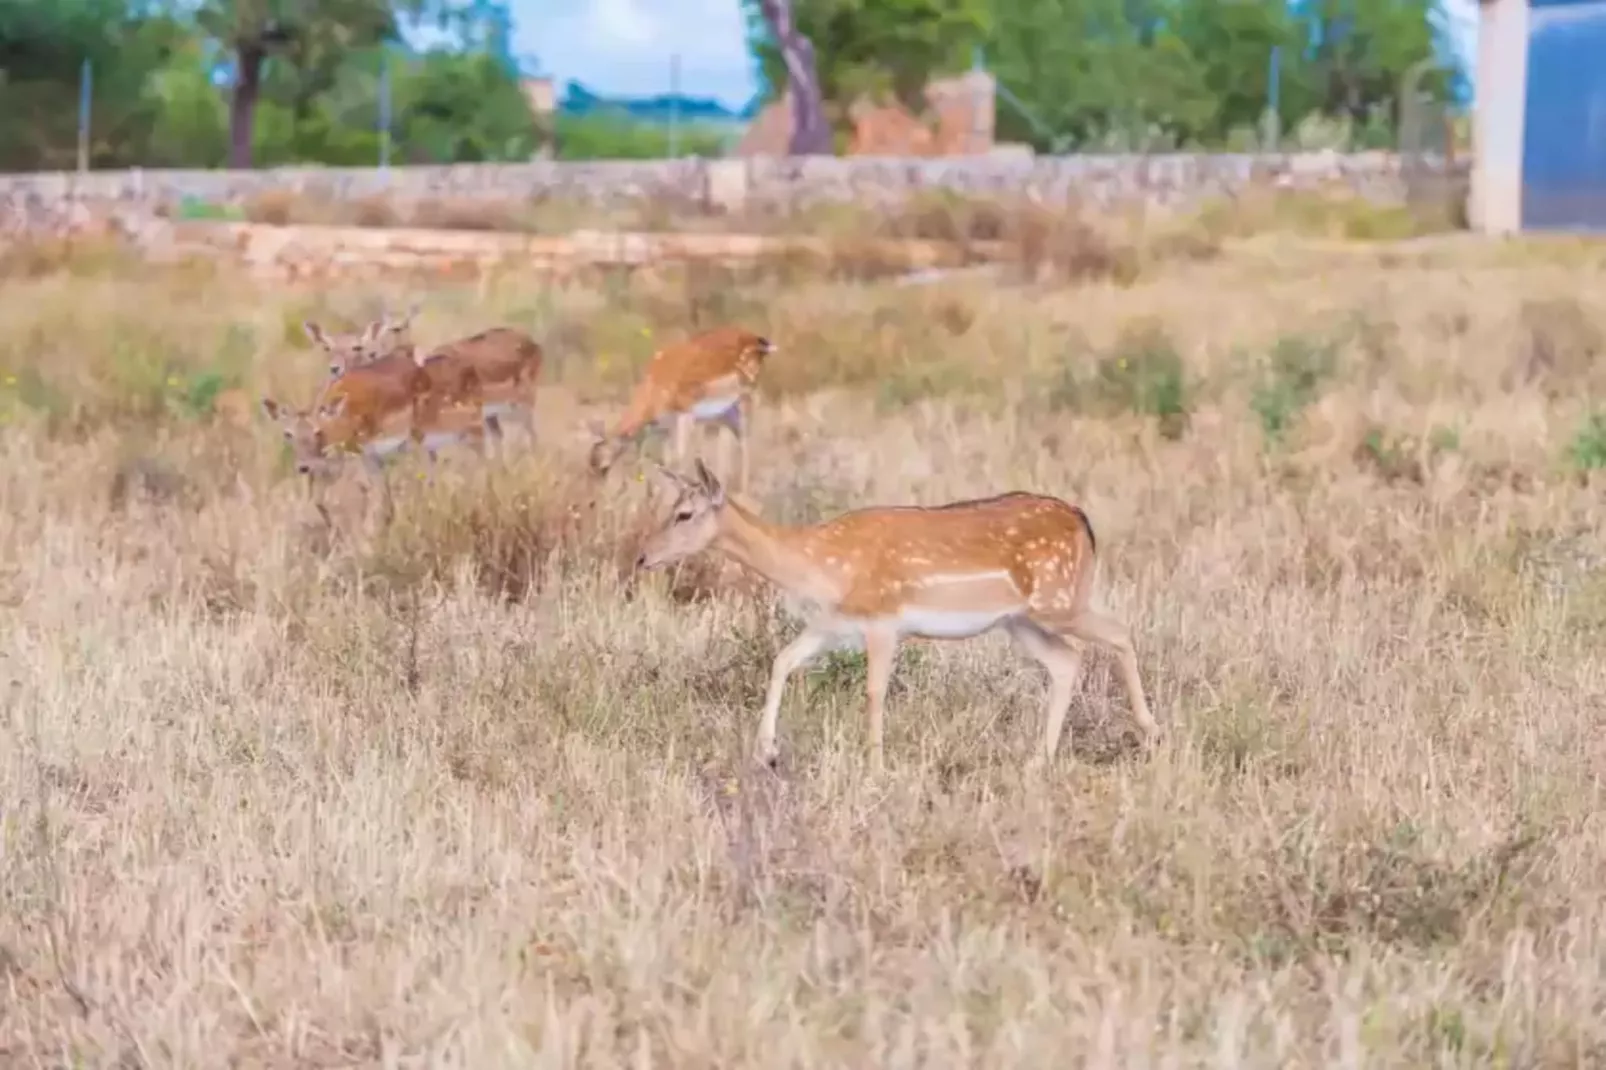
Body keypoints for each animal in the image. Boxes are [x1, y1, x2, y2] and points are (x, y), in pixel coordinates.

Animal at [587, 324, 774, 491]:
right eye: (590, 462)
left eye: (602, 466)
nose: (595, 492)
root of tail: (761, 342)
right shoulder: (665, 425)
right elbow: (667, 460)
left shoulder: (686, 411)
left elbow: (679, 457)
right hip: (726, 411)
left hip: (746, 396)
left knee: (745, 442)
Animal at [632, 456, 1162, 767]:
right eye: (663, 507)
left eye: (685, 513)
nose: (642, 556)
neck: (821, 567)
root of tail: (1084, 522)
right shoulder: (832, 626)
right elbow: (781, 660)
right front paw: (767, 751)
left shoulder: (883, 620)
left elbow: (873, 691)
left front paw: (875, 763)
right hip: (1021, 621)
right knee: (1068, 661)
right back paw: (1040, 759)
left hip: (1058, 598)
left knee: (1119, 632)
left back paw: (1151, 731)